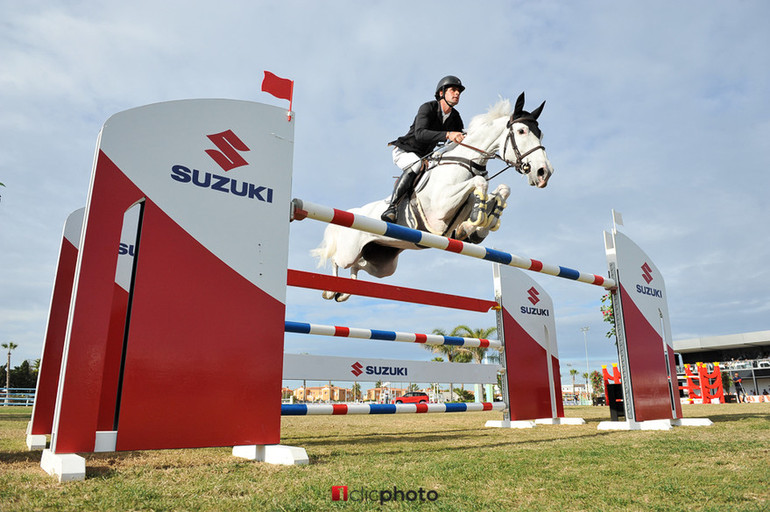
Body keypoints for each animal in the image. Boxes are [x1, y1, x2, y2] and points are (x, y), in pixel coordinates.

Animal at [308, 92, 548, 302]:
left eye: (540, 133)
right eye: (521, 131)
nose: (544, 172)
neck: (467, 162)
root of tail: (355, 212)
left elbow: (500, 191)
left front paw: (477, 228)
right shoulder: (441, 207)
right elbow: (480, 182)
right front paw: (478, 220)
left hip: (382, 263)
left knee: (359, 266)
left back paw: (345, 291)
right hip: (349, 251)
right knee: (336, 259)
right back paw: (331, 290)